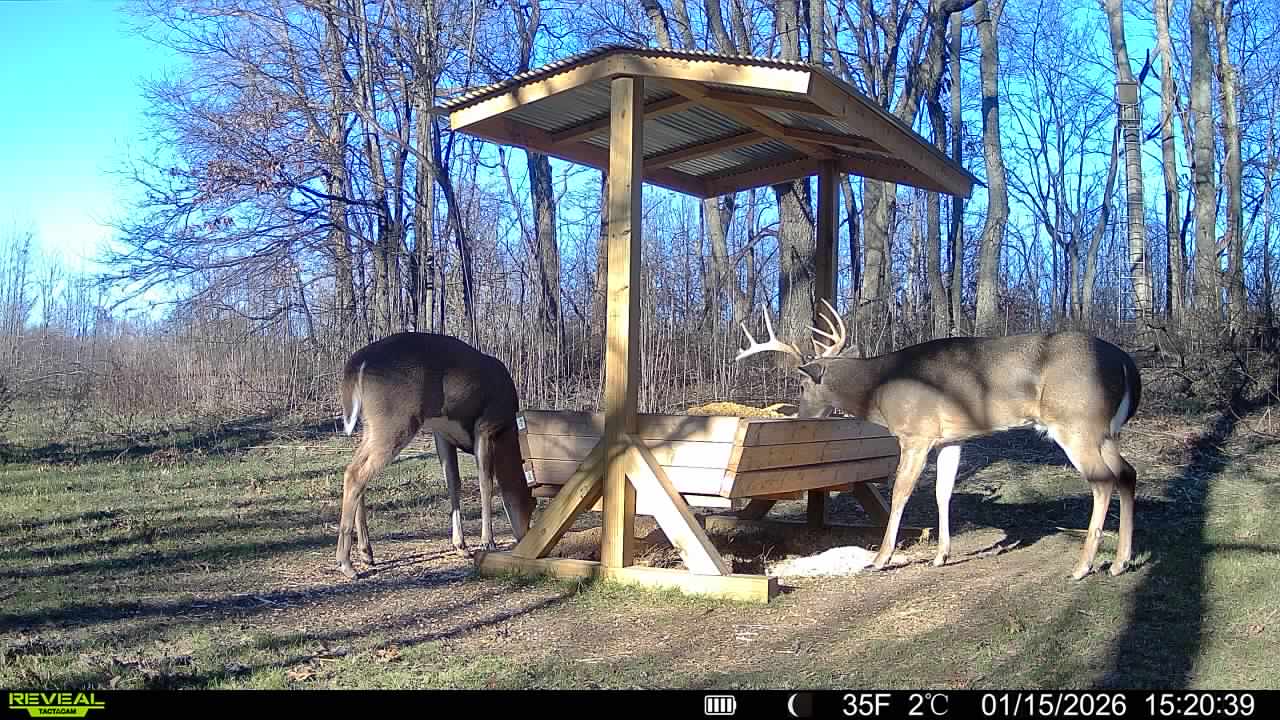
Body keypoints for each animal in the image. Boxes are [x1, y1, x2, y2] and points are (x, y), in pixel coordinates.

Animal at [335, 332, 537, 580]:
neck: (507, 430)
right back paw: (346, 564)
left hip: (372, 425)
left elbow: (453, 483)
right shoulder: (485, 426)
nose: (524, 536)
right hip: (396, 421)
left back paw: (366, 553)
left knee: (353, 470)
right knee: (356, 474)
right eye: (531, 507)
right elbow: (485, 484)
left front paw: (461, 545)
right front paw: (487, 542)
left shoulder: (442, 434)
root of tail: (358, 364)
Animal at [735, 301, 1142, 580]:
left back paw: (1082, 566)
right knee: (1127, 474)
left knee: (1103, 481)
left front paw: (880, 559)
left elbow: (901, 492)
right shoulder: (951, 438)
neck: (879, 390)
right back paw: (1120, 562)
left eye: (803, 385)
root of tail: (1127, 364)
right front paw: (941, 555)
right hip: (1107, 430)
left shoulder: (916, 433)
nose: (799, 415)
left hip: (1076, 423)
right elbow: (942, 491)